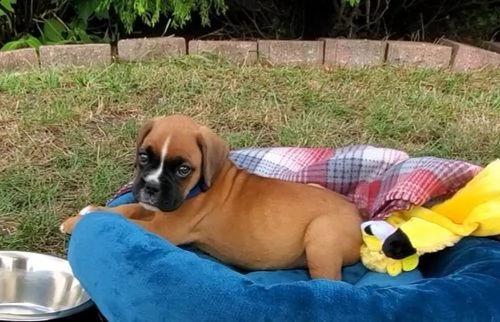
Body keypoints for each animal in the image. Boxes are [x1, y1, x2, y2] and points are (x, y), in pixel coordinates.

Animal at [61, 115, 364, 280]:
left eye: (183, 169)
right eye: (144, 156)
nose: (151, 187)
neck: (202, 186)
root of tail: (359, 217)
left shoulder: (164, 228)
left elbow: (121, 220)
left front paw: (81, 221)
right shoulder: (152, 209)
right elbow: (126, 210)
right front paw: (85, 212)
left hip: (321, 238)